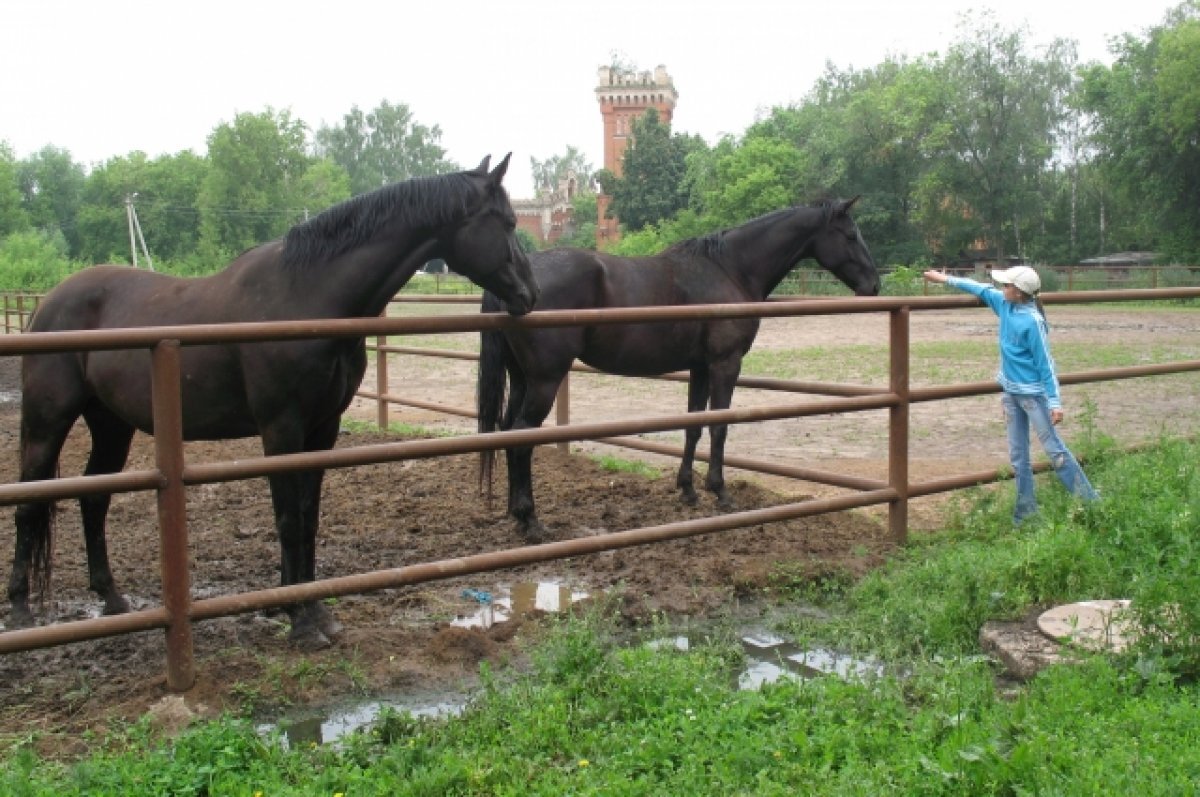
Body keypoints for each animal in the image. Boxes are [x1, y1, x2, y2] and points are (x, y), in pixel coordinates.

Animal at [7, 153, 542, 648]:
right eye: (508, 223)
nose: (530, 294)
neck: (307, 299)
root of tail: (48, 303)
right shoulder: (281, 428)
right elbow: (287, 519)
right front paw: (300, 622)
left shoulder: (322, 429)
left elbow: (308, 518)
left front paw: (312, 610)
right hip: (48, 421)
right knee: (29, 502)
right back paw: (19, 611)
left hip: (112, 424)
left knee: (93, 497)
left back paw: (113, 600)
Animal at [477, 198, 883, 542]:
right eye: (850, 235)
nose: (875, 284)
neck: (730, 269)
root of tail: (519, 285)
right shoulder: (725, 364)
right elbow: (719, 426)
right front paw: (720, 491)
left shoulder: (700, 369)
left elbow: (694, 426)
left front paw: (687, 489)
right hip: (545, 381)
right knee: (522, 437)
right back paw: (531, 521)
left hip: (523, 379)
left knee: (507, 432)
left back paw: (516, 515)